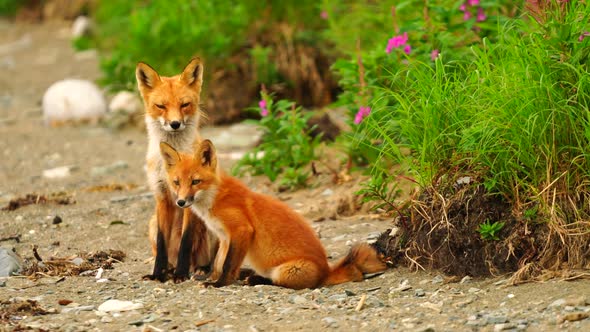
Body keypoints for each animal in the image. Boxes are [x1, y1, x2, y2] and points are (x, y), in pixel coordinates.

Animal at [136, 58, 217, 282]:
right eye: (161, 106)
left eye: (184, 104)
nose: (175, 124)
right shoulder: (162, 195)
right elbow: (162, 244)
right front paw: (158, 274)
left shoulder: (189, 201)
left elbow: (186, 241)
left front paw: (180, 274)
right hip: (152, 224)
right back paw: (170, 269)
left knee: (205, 259)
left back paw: (198, 269)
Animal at [160, 139, 388, 288]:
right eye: (177, 182)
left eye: (195, 182)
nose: (181, 202)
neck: (214, 197)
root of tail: (327, 270)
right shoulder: (225, 237)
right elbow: (218, 263)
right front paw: (210, 278)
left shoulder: (241, 230)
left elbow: (228, 265)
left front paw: (220, 284)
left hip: (286, 270)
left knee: (286, 284)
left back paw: (255, 280)